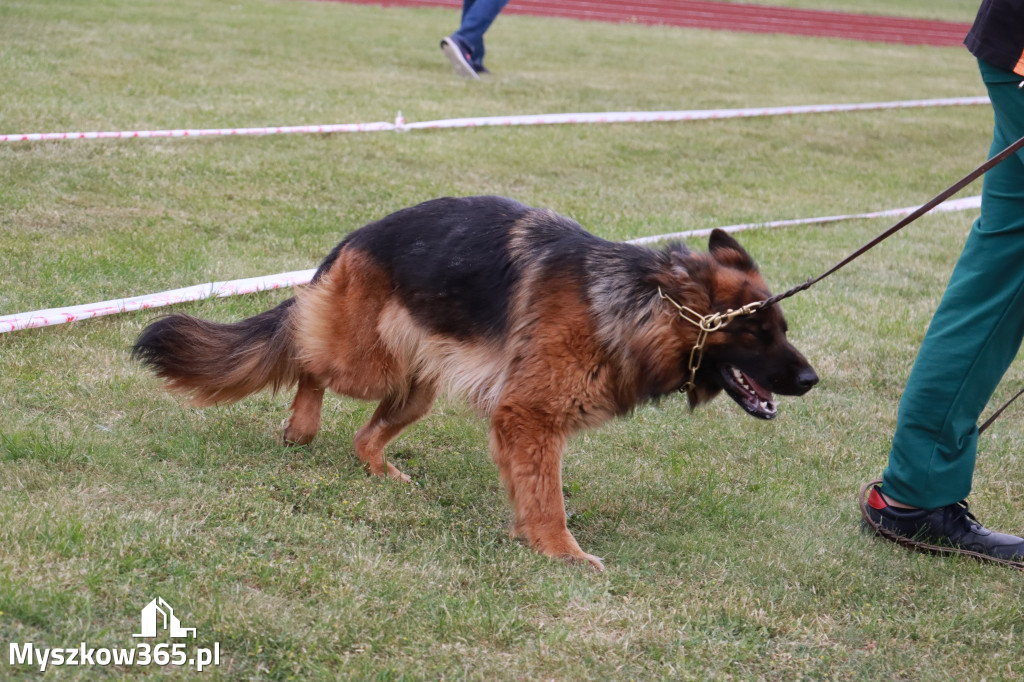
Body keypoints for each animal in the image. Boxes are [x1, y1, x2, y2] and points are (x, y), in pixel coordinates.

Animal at [134, 193, 815, 565]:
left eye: (780, 327)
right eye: (756, 333)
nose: (811, 379)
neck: (634, 304)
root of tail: (353, 239)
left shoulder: (530, 421)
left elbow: (533, 489)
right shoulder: (529, 415)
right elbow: (548, 498)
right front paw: (561, 554)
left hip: (418, 384)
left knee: (363, 434)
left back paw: (378, 468)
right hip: (366, 362)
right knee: (306, 353)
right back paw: (301, 426)